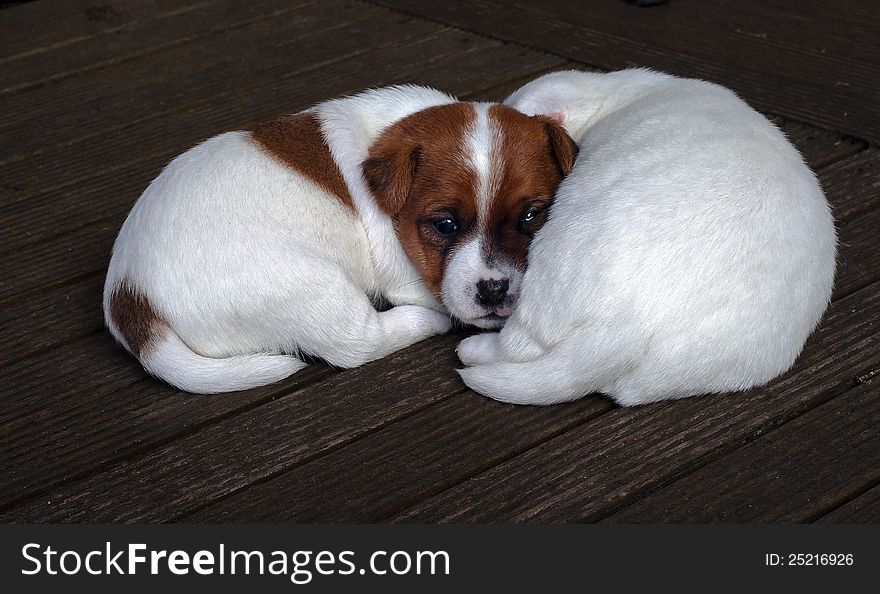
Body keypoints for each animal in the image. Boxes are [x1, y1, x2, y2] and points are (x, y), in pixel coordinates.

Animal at [105, 84, 576, 394]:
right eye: (445, 225)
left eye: (531, 216)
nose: (494, 290)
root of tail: (129, 296)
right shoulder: (404, 272)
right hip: (312, 285)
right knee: (358, 343)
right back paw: (423, 323)